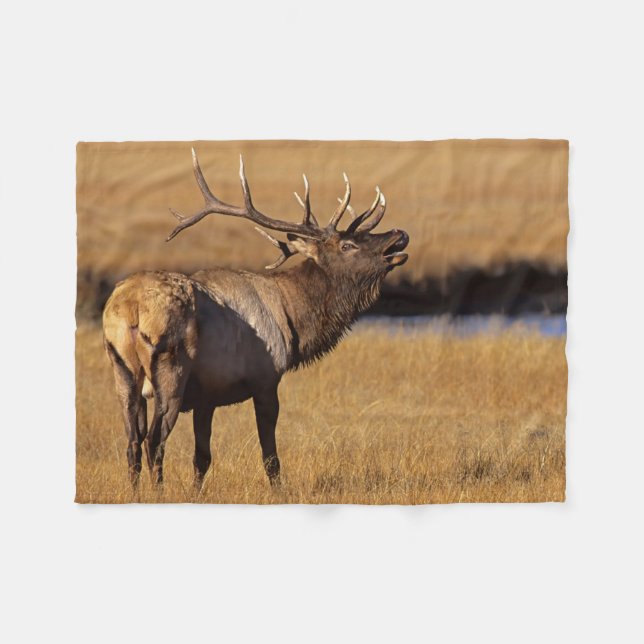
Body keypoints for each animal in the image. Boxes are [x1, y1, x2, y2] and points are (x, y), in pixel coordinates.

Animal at [102, 149, 409, 488]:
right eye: (348, 244)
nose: (399, 233)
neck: (293, 320)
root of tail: (129, 308)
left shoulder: (207, 396)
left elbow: (202, 458)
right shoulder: (265, 380)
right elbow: (270, 458)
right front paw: (279, 492)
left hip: (122, 370)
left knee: (132, 442)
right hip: (170, 369)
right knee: (153, 441)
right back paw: (158, 492)